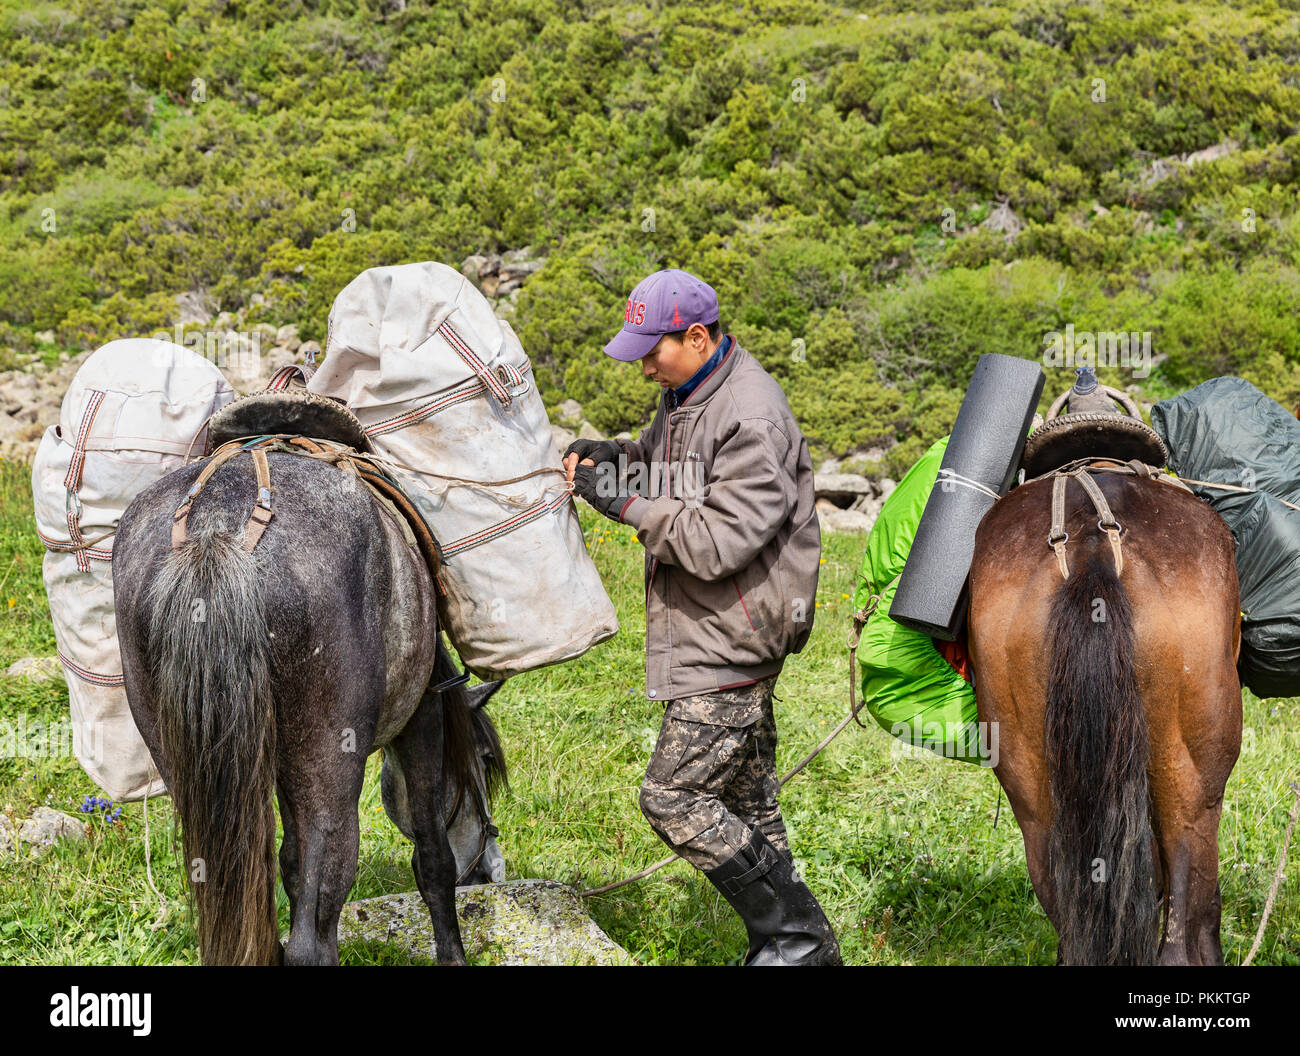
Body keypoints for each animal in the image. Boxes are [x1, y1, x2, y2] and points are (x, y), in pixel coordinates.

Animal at [111, 444, 506, 967]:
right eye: (484, 760)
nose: (490, 872)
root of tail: (215, 528)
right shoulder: (423, 718)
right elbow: (432, 859)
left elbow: (292, 867)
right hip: (329, 775)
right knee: (312, 934)